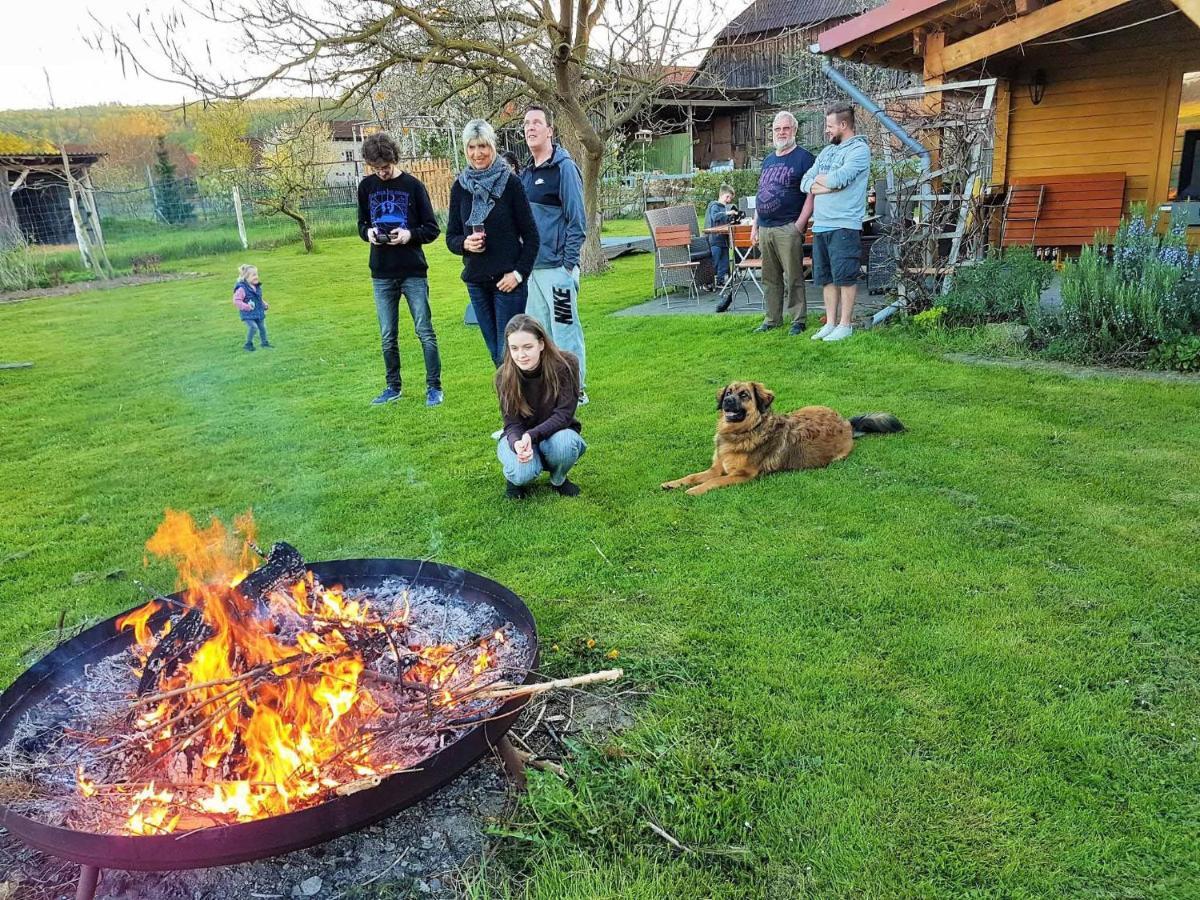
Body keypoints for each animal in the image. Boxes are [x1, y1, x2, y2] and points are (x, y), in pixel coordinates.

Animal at [662, 379, 902, 496]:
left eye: (744, 395)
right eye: (728, 392)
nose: (727, 402)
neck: (743, 432)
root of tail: (846, 423)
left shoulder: (743, 475)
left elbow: (713, 481)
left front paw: (695, 490)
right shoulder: (717, 467)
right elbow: (694, 475)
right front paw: (673, 483)